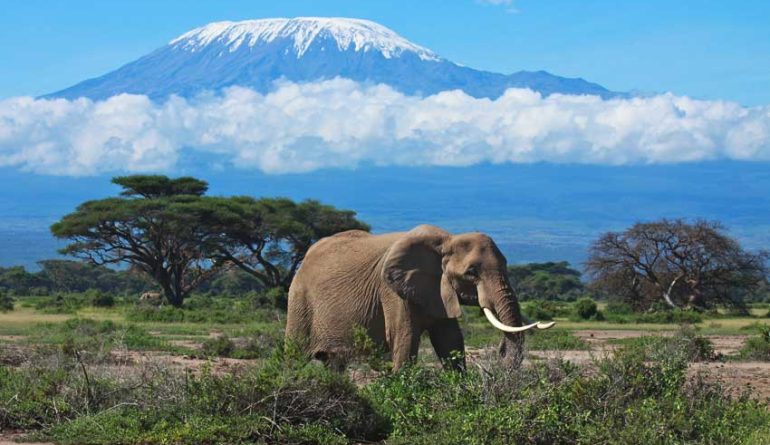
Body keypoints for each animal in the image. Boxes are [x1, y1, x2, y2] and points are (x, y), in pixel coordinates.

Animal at [284, 224, 552, 370]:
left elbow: (450, 341)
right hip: (298, 299)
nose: (500, 350)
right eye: (471, 272)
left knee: (334, 363)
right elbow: (404, 339)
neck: (447, 240)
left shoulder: (438, 290)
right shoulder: (391, 291)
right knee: (294, 356)